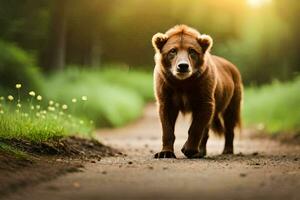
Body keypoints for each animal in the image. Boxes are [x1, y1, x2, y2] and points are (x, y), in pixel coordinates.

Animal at [151, 25, 243, 159]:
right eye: (172, 50)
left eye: (192, 51)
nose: (183, 66)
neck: (182, 83)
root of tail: (233, 67)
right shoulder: (166, 93)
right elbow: (167, 127)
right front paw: (165, 153)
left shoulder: (204, 96)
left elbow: (197, 126)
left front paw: (188, 149)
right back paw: (201, 151)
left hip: (232, 98)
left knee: (229, 123)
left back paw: (226, 149)